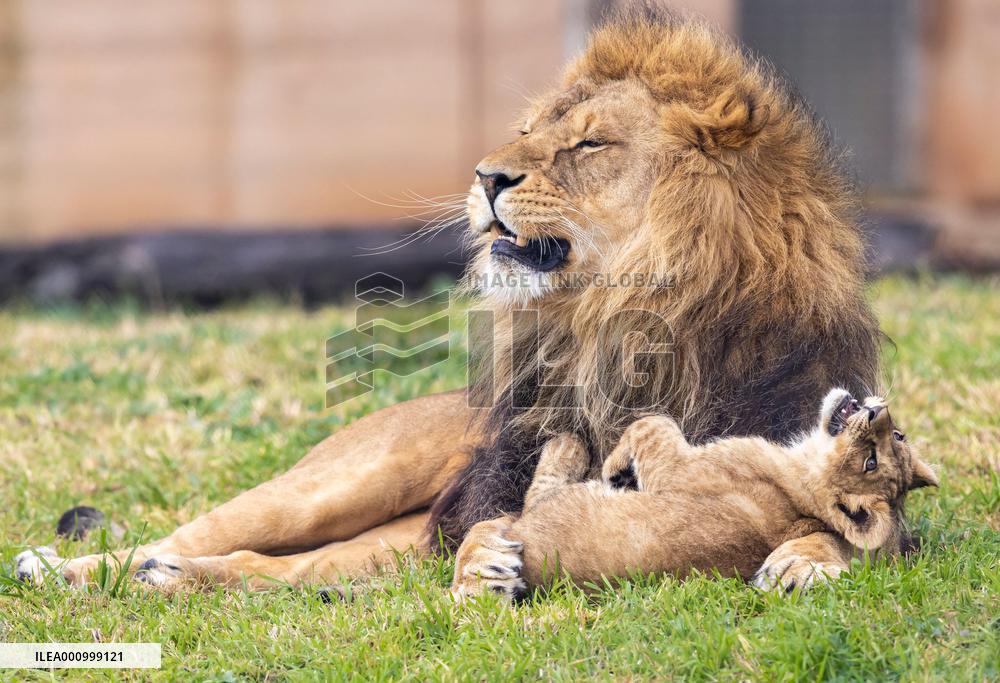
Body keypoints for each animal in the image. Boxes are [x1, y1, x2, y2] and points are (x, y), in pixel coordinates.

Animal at [15, 9, 883, 593]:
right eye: (528, 129)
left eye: (589, 143)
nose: (485, 175)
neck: (619, 331)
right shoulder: (497, 486)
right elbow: (501, 519)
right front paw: (484, 565)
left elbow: (847, 525)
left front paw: (805, 560)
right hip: (335, 485)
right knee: (192, 530)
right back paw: (58, 566)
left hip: (370, 545)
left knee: (269, 567)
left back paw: (164, 577)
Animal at [452, 390, 938, 600]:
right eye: (896, 436)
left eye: (871, 461)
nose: (878, 411)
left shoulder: (677, 468)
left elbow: (653, 423)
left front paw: (615, 466)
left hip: (546, 509)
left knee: (538, 489)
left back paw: (569, 443)